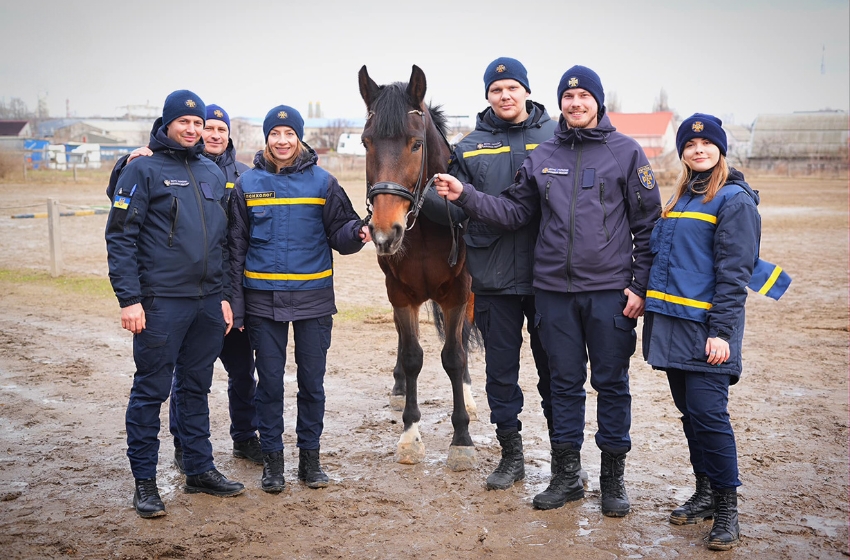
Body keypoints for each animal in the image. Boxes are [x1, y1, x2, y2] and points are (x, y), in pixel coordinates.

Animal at [356, 63, 476, 470]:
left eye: (416, 144)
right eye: (366, 143)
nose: (384, 231)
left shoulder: (457, 294)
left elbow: (453, 356)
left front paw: (462, 438)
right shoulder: (401, 295)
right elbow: (411, 357)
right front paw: (410, 435)